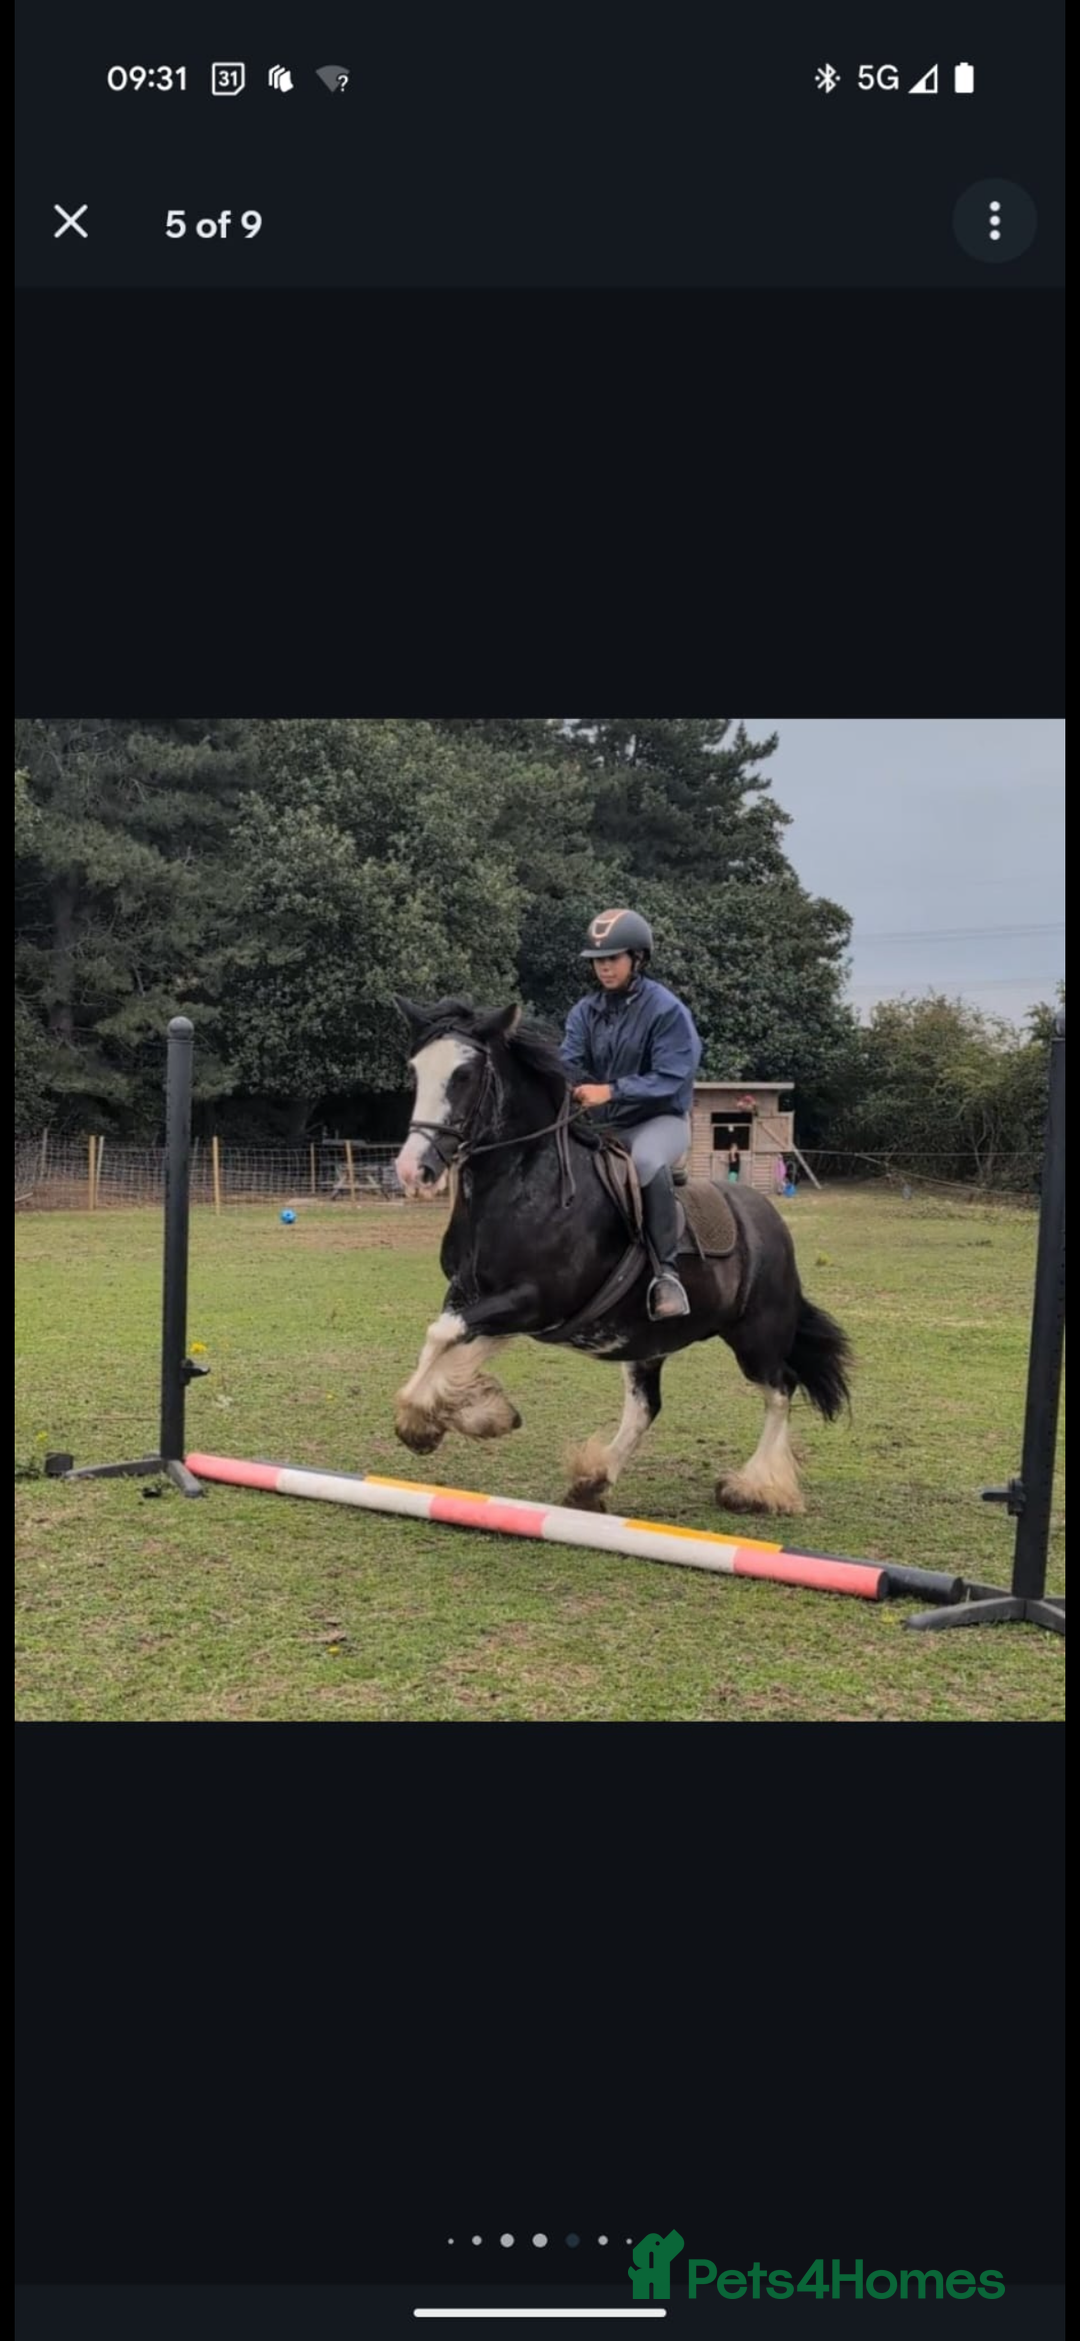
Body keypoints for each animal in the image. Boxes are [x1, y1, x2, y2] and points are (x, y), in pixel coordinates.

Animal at [390, 997, 852, 1516]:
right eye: (416, 1070)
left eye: (464, 1074)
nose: (412, 1170)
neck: (527, 1184)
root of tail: (767, 1218)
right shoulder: (474, 1296)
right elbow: (446, 1340)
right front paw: (470, 1414)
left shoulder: (532, 1301)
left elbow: (444, 1336)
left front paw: (430, 1421)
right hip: (646, 1340)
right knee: (646, 1407)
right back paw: (593, 1480)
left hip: (755, 1336)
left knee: (779, 1389)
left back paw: (757, 1487)